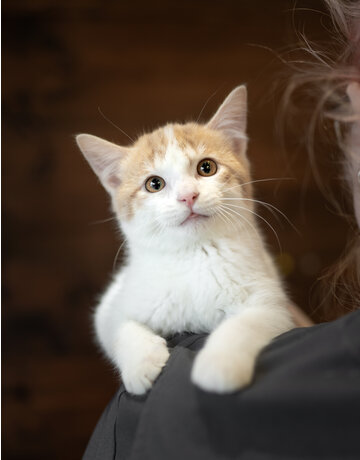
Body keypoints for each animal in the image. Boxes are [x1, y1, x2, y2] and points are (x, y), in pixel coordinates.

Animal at [75, 87, 292, 396]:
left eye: (206, 167)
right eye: (154, 184)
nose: (188, 196)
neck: (195, 253)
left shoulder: (274, 304)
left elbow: (248, 323)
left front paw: (218, 363)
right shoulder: (112, 304)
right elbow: (118, 326)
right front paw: (141, 361)